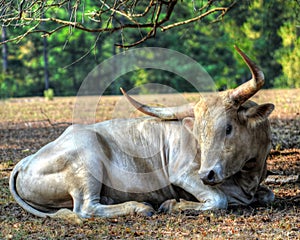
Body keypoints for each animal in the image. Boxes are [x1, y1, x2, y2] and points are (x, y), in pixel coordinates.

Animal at [9, 46, 276, 220]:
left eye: (228, 127)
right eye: (199, 134)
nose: (207, 174)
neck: (247, 176)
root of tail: (25, 161)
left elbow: (268, 194)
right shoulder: (183, 174)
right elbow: (219, 200)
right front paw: (172, 204)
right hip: (87, 162)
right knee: (86, 208)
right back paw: (139, 207)